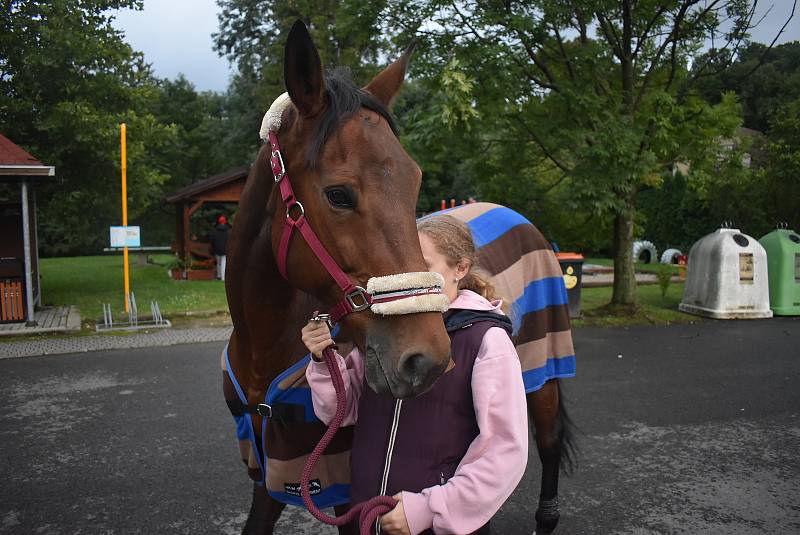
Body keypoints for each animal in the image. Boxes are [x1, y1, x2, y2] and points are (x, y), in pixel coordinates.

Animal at [225, 19, 576, 535]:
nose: (426, 359)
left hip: (543, 369)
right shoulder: (266, 470)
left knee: (548, 444)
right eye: (338, 194)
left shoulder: (344, 485)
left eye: (415, 183)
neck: (263, 350)